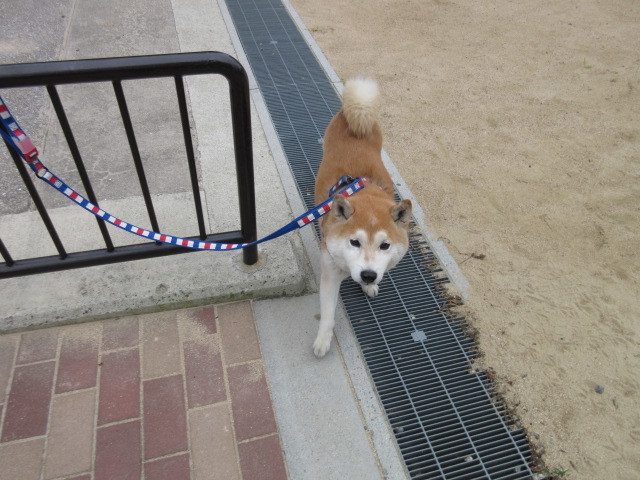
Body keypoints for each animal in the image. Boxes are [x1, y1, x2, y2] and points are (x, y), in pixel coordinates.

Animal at [312, 78, 412, 356]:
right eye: (354, 242)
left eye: (385, 245)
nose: (367, 275)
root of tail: (355, 116)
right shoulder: (329, 271)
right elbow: (327, 314)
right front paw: (323, 340)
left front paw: (368, 285)